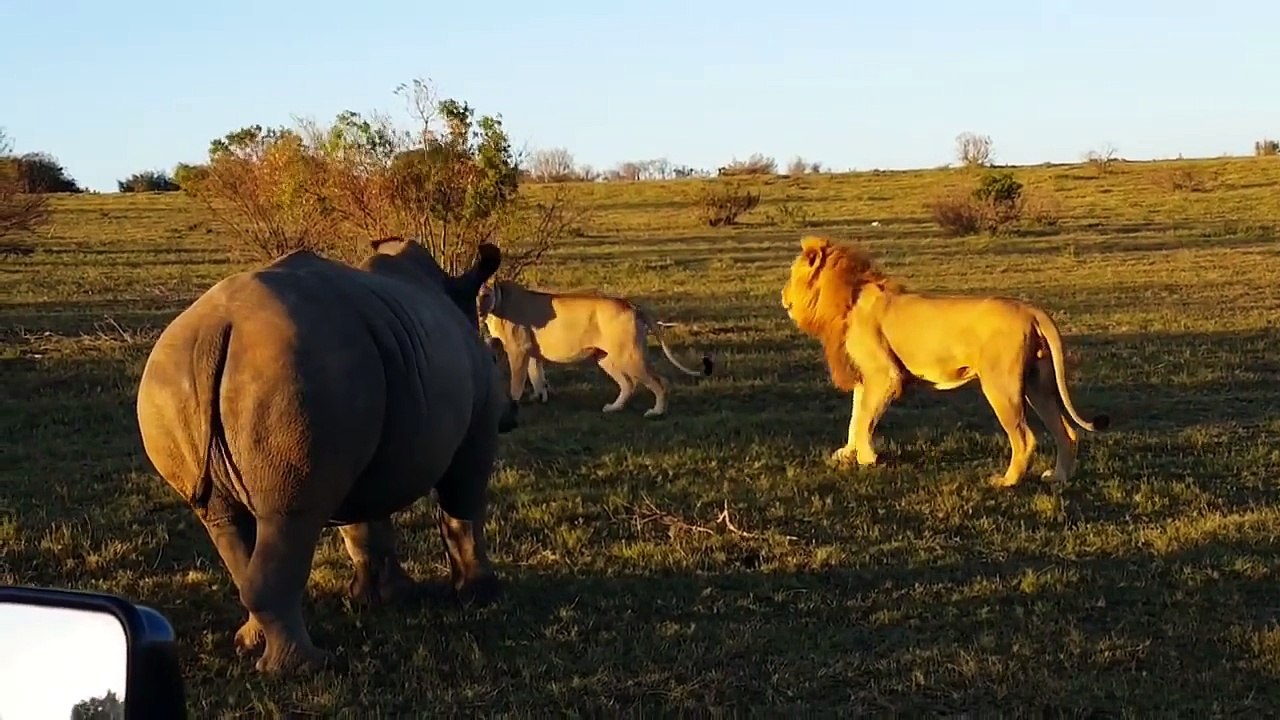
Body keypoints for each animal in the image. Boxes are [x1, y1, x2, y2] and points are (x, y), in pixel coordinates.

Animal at [135, 237, 519, 675]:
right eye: (496, 358)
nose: (513, 414)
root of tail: (214, 330)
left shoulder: (363, 431)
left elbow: (364, 524)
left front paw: (381, 598)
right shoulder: (475, 432)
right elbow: (463, 508)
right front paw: (481, 595)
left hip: (174, 380)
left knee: (224, 519)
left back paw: (251, 645)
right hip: (294, 370)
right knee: (290, 517)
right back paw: (305, 666)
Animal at [477, 279, 714, 418]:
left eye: (485, 295)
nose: (477, 310)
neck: (497, 304)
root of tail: (631, 305)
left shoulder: (517, 351)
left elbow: (517, 383)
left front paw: (513, 405)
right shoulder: (531, 352)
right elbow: (536, 376)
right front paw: (539, 398)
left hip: (630, 356)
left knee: (660, 382)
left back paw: (656, 412)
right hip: (606, 358)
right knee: (628, 384)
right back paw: (614, 408)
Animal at [780, 234, 1110, 487]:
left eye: (790, 276)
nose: (782, 295)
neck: (850, 293)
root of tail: (1030, 309)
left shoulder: (884, 374)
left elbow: (864, 419)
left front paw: (866, 457)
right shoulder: (865, 375)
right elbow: (856, 416)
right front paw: (848, 453)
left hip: (1001, 386)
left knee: (1025, 438)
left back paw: (1006, 482)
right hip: (1037, 384)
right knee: (1067, 432)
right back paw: (1058, 477)